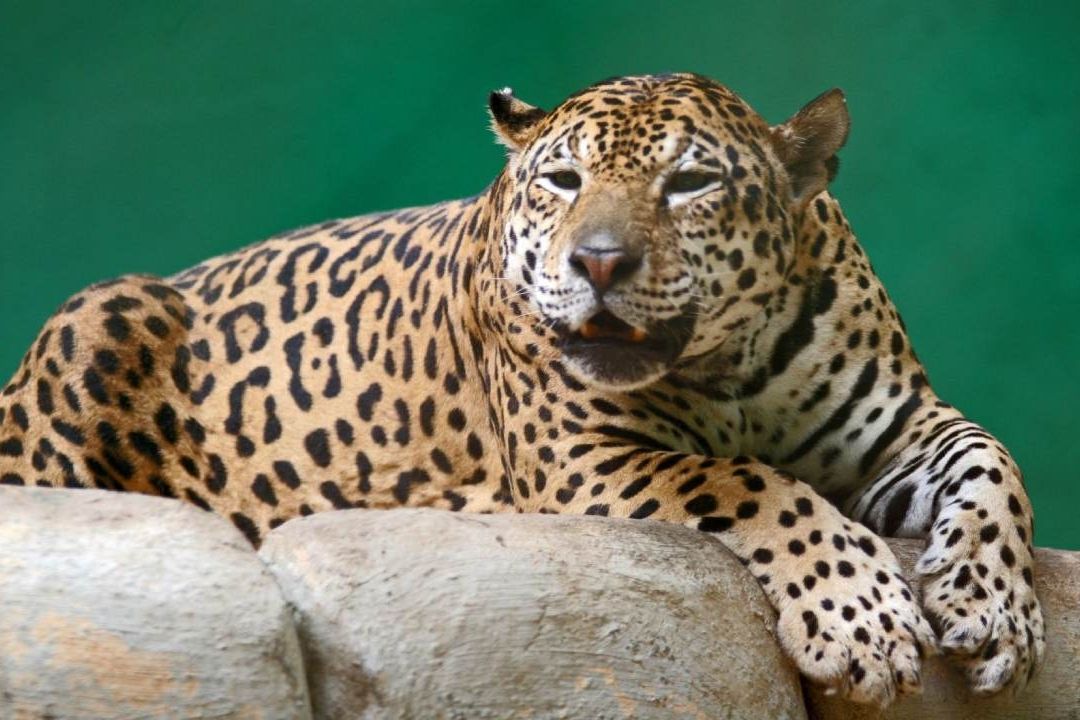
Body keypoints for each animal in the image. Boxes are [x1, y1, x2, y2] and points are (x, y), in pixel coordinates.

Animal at [0, 72, 1044, 706]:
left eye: (691, 183)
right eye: (564, 180)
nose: (600, 261)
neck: (729, 364)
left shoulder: (900, 425)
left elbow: (994, 463)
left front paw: (996, 606)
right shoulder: (585, 460)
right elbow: (750, 483)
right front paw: (863, 618)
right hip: (103, 310)